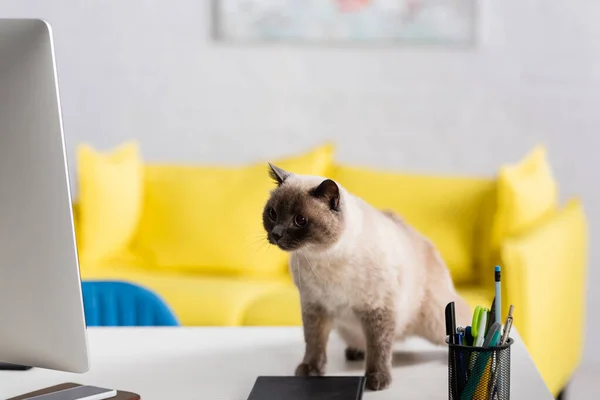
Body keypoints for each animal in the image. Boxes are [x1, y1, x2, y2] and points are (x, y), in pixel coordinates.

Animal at [262, 162, 474, 390]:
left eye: (300, 220)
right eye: (273, 213)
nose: (276, 234)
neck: (322, 258)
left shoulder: (377, 309)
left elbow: (378, 349)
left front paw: (377, 381)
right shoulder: (315, 308)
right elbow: (314, 344)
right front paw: (310, 371)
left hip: (435, 322)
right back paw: (355, 352)